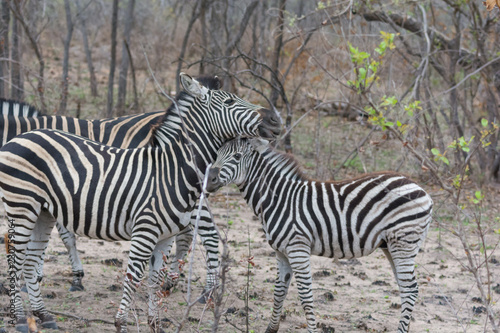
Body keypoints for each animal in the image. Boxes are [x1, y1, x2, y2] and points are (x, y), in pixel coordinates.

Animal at [0, 73, 282, 332]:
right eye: (230, 101)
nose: (276, 120)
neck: (174, 170)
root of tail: (21, 137)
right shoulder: (145, 230)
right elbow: (134, 275)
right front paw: (121, 323)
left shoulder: (165, 236)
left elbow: (154, 279)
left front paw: (154, 323)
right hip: (22, 207)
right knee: (15, 260)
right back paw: (19, 319)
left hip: (43, 212)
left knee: (29, 261)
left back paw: (44, 315)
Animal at [206, 137, 434, 332]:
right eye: (217, 154)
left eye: (236, 157)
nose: (209, 180)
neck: (280, 200)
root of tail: (423, 191)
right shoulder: (281, 252)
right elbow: (279, 291)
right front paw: (271, 329)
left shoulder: (297, 248)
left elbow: (305, 295)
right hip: (391, 246)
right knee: (406, 288)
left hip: (403, 242)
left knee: (410, 289)